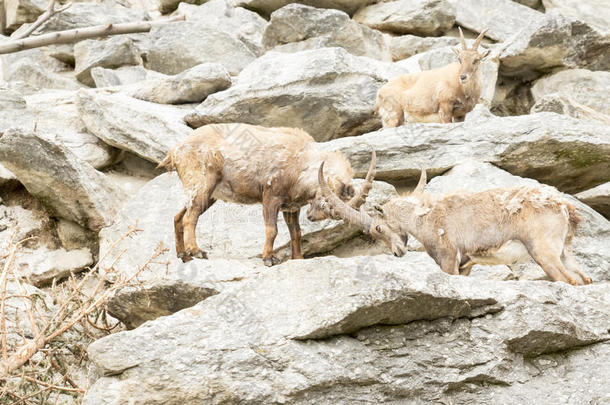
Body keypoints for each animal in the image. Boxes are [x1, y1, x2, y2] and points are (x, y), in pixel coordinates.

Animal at [158, 124, 376, 266]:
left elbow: (296, 233)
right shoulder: (271, 196)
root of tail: (175, 152)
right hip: (203, 183)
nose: (312, 217)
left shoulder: (291, 206)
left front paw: (298, 259)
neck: (301, 162)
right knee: (190, 217)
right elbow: (272, 229)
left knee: (178, 216)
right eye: (325, 203)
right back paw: (196, 251)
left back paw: (184, 255)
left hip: (208, 194)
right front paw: (269, 258)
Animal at [316, 160, 592, 284]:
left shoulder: (448, 259)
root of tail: (565, 207)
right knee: (584, 278)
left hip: (543, 251)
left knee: (568, 280)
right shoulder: (466, 265)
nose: (397, 252)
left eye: (377, 228)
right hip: (565, 252)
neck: (424, 217)